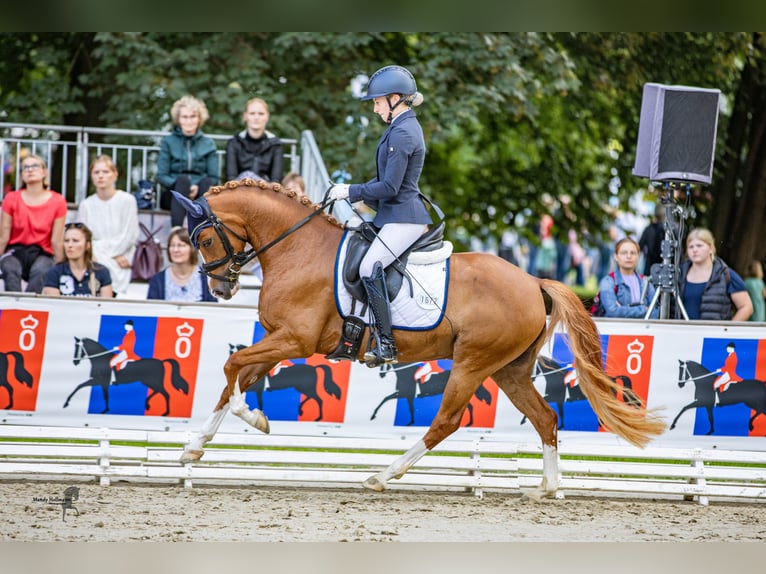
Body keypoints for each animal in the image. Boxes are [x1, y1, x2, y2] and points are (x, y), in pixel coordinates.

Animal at [174, 180, 664, 500]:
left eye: (204, 239)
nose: (220, 288)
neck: (298, 249)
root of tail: (532, 282)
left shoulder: (295, 340)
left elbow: (232, 368)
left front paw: (254, 420)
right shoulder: (281, 339)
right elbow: (234, 378)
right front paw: (194, 448)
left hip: (472, 363)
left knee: (445, 422)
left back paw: (382, 476)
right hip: (510, 370)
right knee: (545, 418)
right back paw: (547, 487)